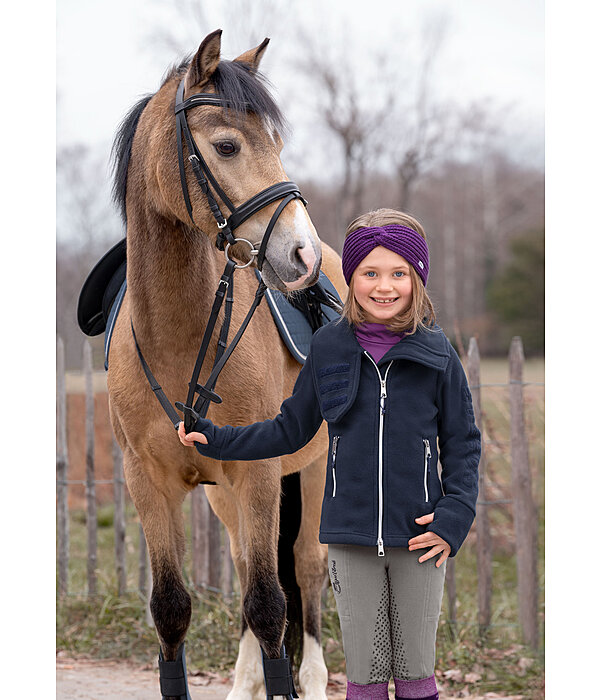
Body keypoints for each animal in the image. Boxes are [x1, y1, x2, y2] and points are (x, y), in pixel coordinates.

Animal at [105, 30, 344, 700]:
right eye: (228, 145)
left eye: (277, 144)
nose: (301, 255)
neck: (177, 335)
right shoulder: (150, 483)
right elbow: (171, 609)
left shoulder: (259, 475)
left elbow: (270, 605)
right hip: (225, 499)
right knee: (244, 567)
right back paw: (244, 682)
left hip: (309, 473)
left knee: (305, 571)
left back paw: (313, 678)